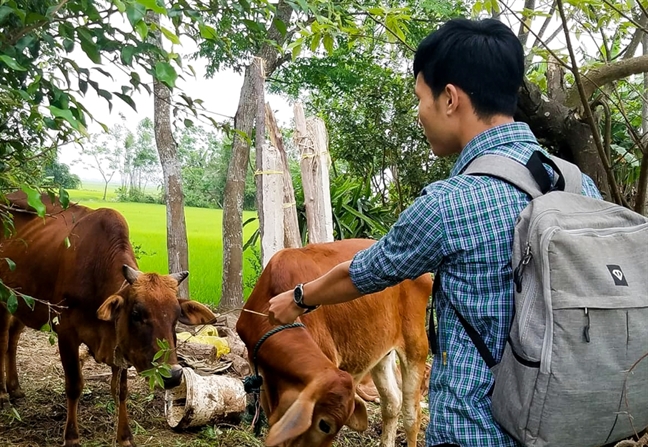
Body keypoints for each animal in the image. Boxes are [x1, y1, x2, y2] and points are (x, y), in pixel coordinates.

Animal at [0, 194, 215, 447]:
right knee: (3, 341)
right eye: (136, 314)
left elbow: (121, 390)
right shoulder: (66, 334)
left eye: (175, 317)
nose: (171, 376)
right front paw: (71, 437)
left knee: (13, 337)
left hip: (23, 304)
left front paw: (125, 436)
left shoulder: (120, 345)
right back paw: (3, 393)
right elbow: (74, 385)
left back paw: (15, 388)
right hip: (4, 299)